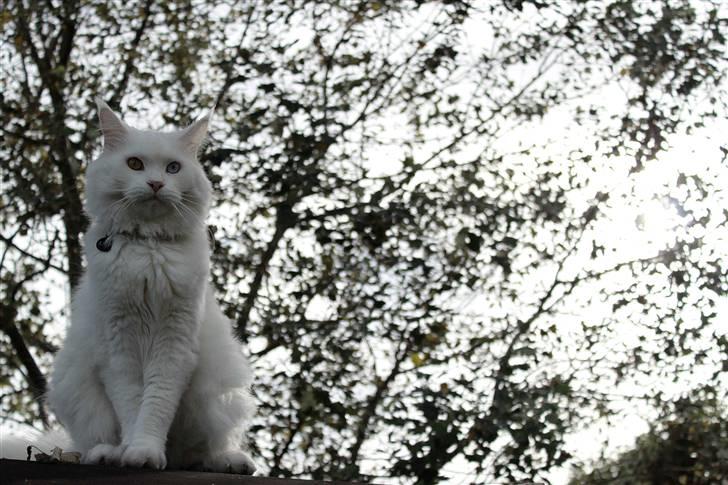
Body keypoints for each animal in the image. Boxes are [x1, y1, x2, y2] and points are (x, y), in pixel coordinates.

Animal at [45, 99, 256, 472]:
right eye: (135, 164)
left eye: (173, 168)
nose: (156, 183)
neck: (148, 246)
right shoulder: (119, 347)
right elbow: (132, 404)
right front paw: (133, 451)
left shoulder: (174, 343)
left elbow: (156, 403)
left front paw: (145, 451)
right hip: (78, 390)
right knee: (91, 442)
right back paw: (107, 453)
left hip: (216, 393)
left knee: (199, 453)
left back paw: (229, 460)